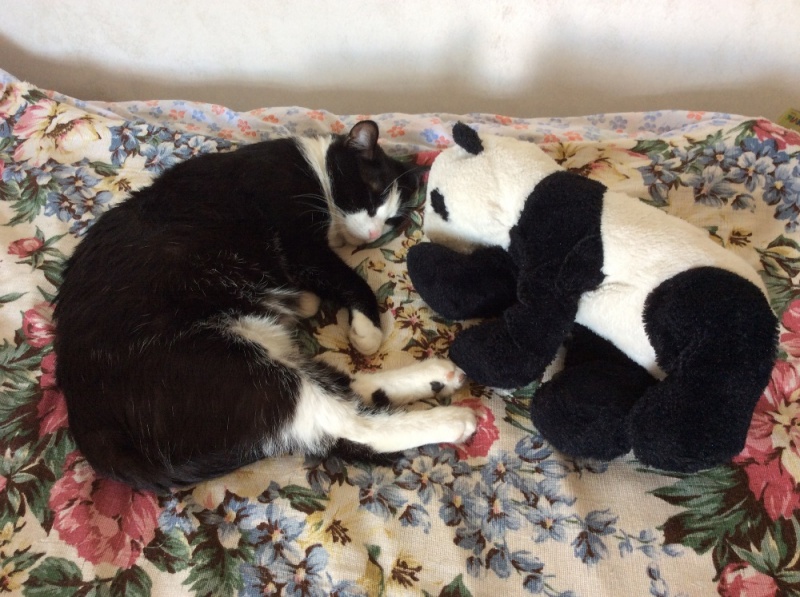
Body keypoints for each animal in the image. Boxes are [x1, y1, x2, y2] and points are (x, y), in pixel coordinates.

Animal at [54, 120, 477, 493]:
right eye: (371, 195)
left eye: (393, 219)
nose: (374, 232)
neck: (314, 168)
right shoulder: (298, 238)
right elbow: (346, 277)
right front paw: (366, 329)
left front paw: (313, 304)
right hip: (225, 366)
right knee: (347, 421)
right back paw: (453, 418)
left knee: (339, 385)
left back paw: (436, 377)